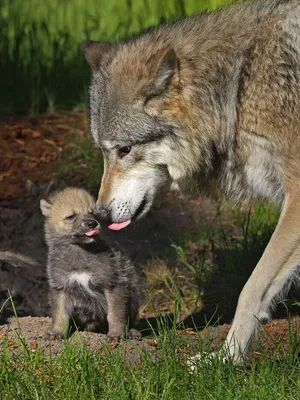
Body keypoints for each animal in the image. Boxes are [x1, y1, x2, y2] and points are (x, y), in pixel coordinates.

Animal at [83, 0, 300, 362]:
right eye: (102, 151)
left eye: (125, 150)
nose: (98, 214)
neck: (239, 86)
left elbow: (251, 288)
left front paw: (226, 360)